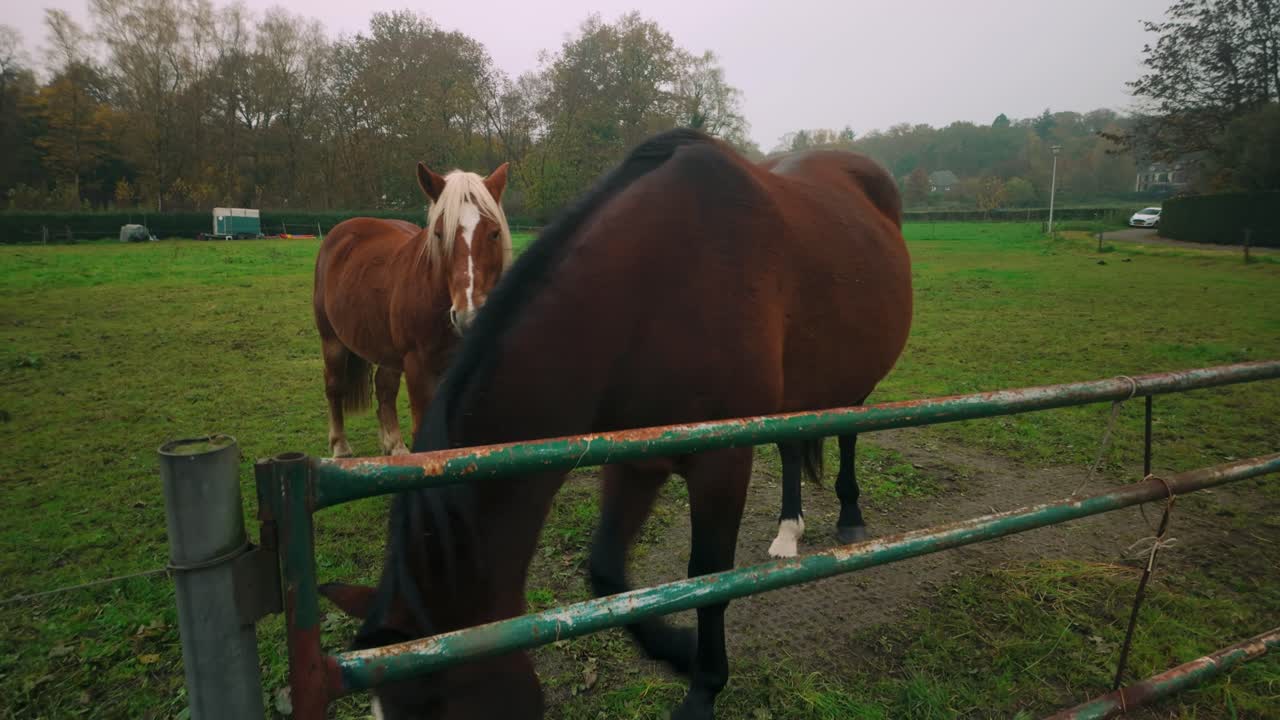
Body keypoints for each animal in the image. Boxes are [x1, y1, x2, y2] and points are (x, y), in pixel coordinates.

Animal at [312, 161, 511, 458]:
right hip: (332, 341)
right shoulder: (417, 366)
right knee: (334, 386)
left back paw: (394, 445)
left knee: (384, 389)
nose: (469, 316)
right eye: (439, 234)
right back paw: (340, 447)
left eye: (494, 233)